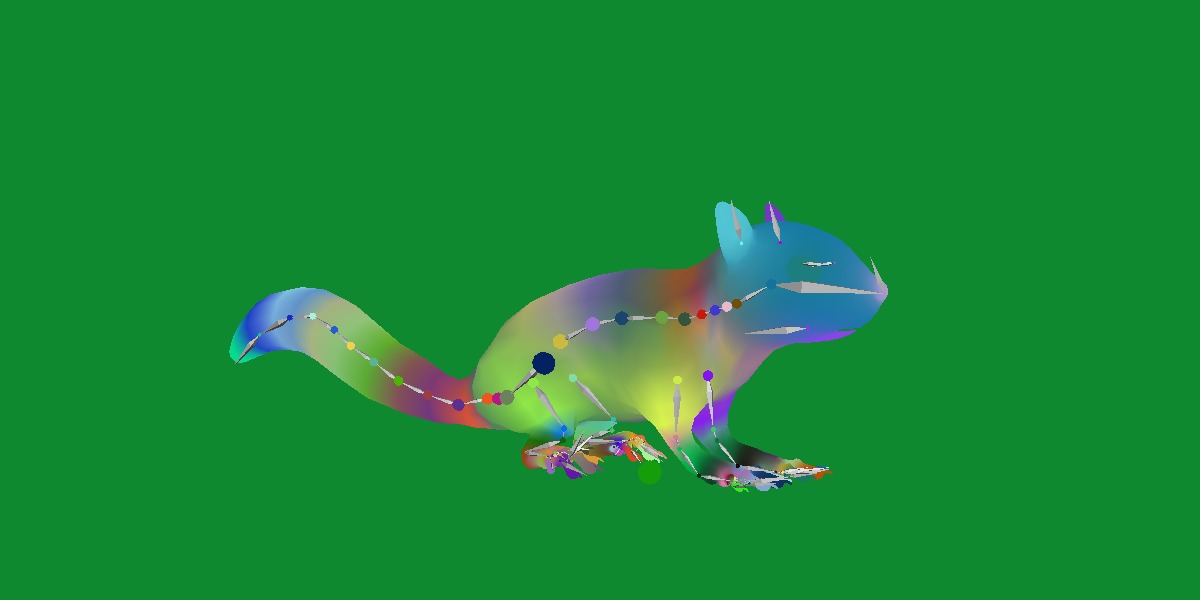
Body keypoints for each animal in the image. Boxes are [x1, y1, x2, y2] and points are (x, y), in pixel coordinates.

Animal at [230, 201, 889, 491]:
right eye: (813, 266)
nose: (883, 289)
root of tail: (478, 392)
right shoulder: (671, 397)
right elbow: (693, 448)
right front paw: (730, 475)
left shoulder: (718, 403)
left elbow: (731, 438)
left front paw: (770, 462)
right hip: (554, 405)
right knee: (532, 450)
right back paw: (583, 451)